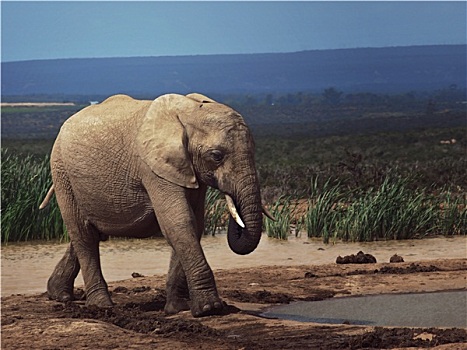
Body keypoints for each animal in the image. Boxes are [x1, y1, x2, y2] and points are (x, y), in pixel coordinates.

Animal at [41, 93, 274, 318]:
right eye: (216, 156)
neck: (190, 110)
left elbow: (194, 224)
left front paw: (178, 309)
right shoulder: (154, 168)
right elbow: (178, 222)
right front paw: (210, 309)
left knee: (88, 233)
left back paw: (59, 295)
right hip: (62, 173)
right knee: (84, 235)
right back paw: (101, 306)